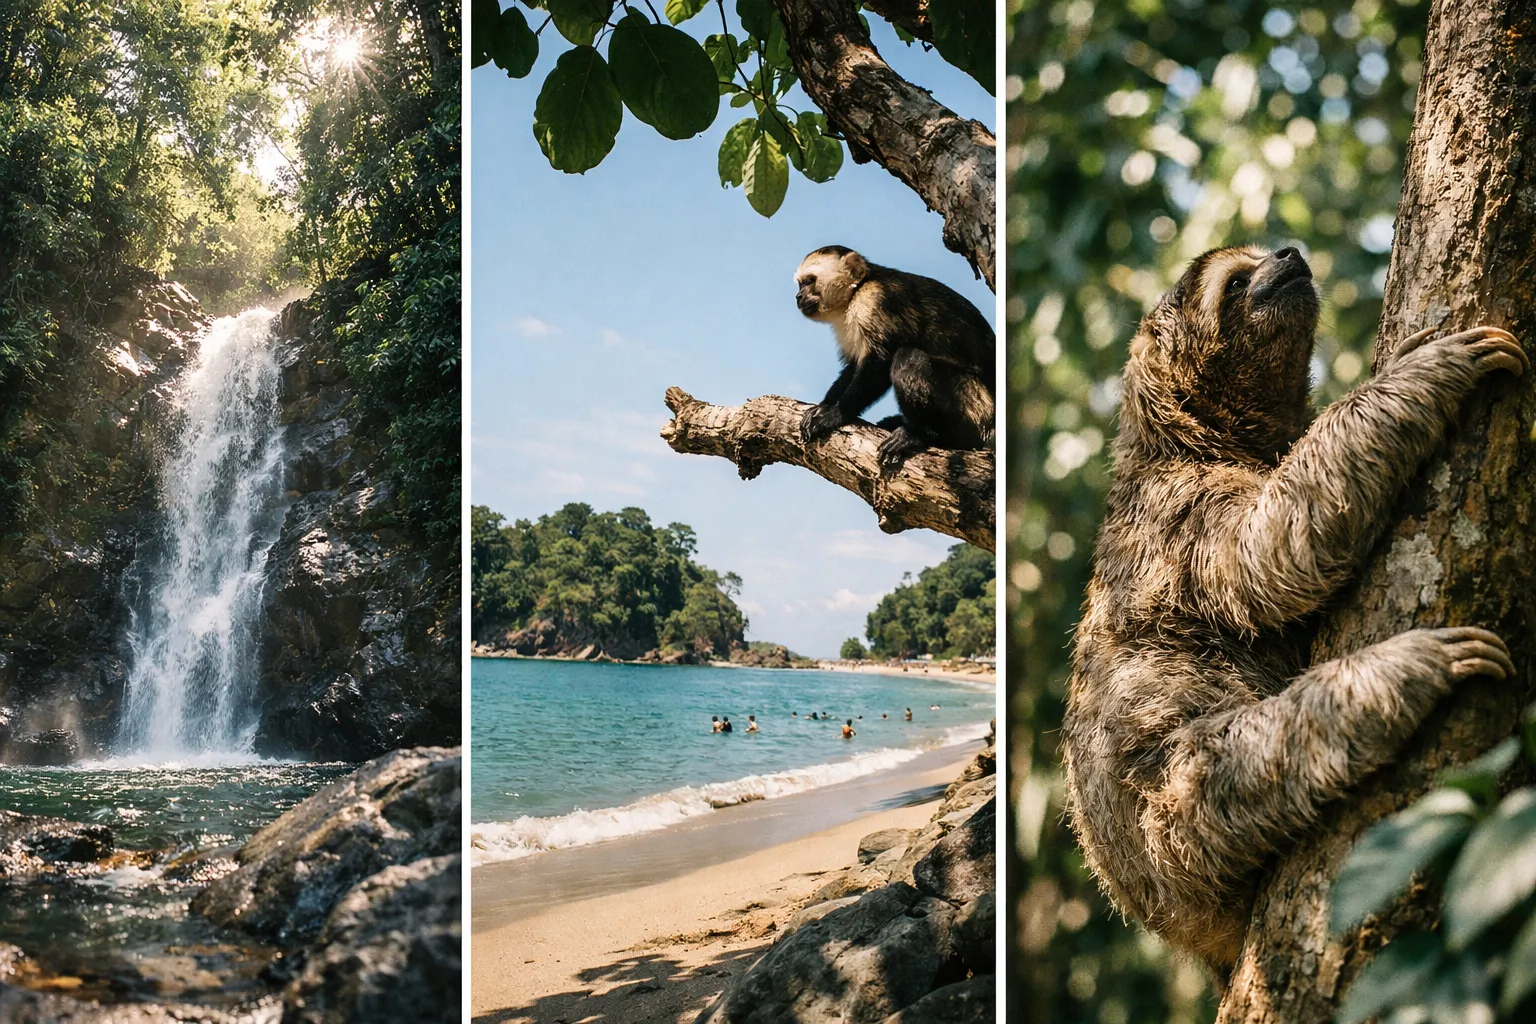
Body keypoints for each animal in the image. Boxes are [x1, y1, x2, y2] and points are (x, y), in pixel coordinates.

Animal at [793, 246, 995, 473]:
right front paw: (824, 405)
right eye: (800, 284)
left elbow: (879, 363)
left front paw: (836, 414)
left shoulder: (875, 300)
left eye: (810, 281)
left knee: (908, 359)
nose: (798, 296)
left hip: (976, 411)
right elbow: (854, 365)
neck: (856, 292)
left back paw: (923, 435)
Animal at [1061, 244, 1526, 977]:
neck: (1196, 441)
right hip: (1170, 825)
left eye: (1261, 254)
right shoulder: (1182, 514)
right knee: (1247, 757)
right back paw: (1407, 667)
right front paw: (1429, 366)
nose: (1289, 253)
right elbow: (1274, 548)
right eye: (1235, 283)